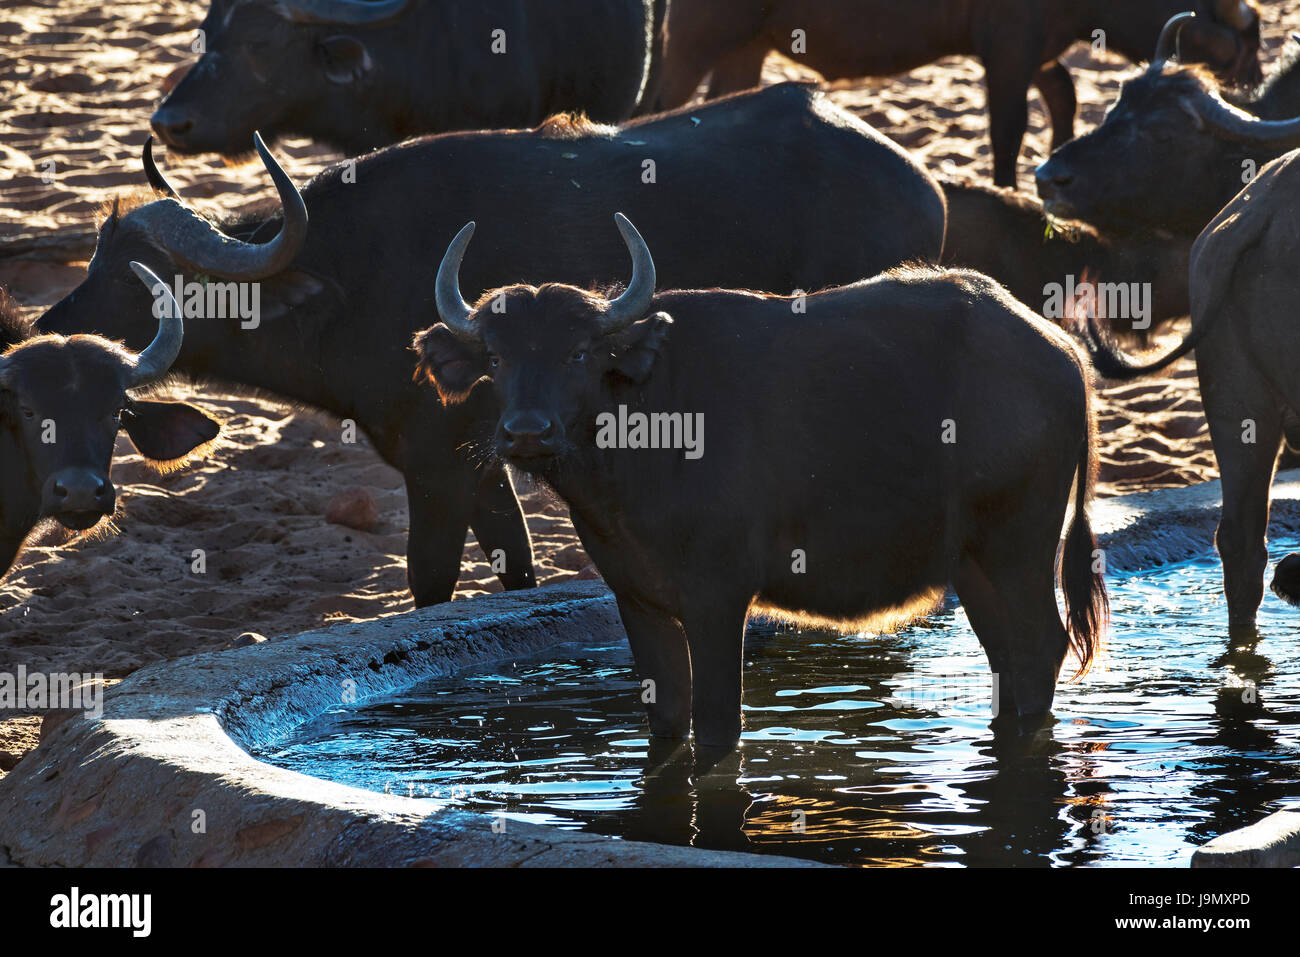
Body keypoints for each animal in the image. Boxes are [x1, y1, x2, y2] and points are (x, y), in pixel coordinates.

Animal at [38, 82, 946, 605]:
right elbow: (515, 567)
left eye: (144, 276)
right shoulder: (479, 457)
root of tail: (920, 185)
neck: (354, 275)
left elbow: (432, 580)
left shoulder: (437, 462)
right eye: (99, 254)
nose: (48, 327)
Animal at [413, 214, 1107, 748]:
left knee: (1040, 647)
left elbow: (718, 727)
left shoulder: (718, 598)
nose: (526, 432)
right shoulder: (636, 600)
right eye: (497, 357)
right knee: (1008, 658)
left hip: (1018, 545)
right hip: (972, 561)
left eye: (578, 352)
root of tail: (1063, 354)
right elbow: (668, 720)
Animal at [655, 0, 1263, 187]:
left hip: (746, 45)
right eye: (1239, 44)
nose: (1255, 92)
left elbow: (1063, 97)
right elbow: (1007, 129)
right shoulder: (1009, 51)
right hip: (695, 38)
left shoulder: (1039, 52)